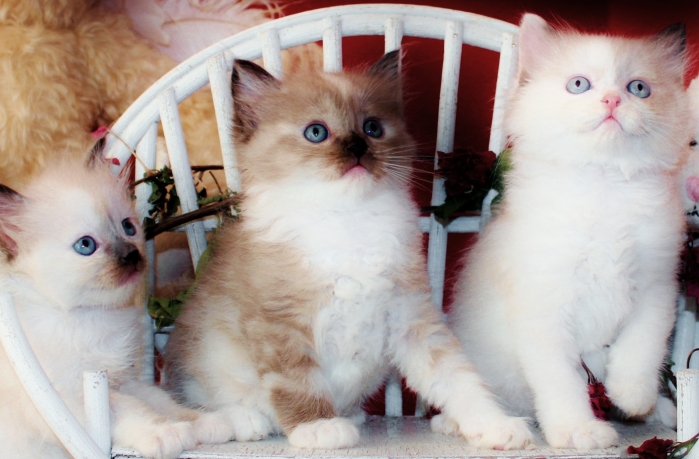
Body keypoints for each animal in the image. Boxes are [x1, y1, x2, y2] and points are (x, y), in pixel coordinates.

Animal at [0, 150, 230, 459]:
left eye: (128, 227)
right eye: (85, 245)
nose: (131, 255)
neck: (89, 318)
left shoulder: (125, 379)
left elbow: (163, 402)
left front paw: (210, 422)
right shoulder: (71, 396)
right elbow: (131, 411)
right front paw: (165, 433)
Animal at [163, 51, 534, 450]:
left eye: (372, 128)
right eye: (316, 132)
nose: (357, 148)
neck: (348, 218)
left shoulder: (411, 318)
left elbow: (458, 380)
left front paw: (496, 425)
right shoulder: (281, 324)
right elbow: (297, 383)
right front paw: (318, 428)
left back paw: (351, 414)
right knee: (201, 405)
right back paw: (250, 421)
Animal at [448, 14, 690, 450]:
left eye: (638, 89)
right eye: (579, 85)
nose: (612, 101)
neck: (605, 185)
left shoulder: (657, 287)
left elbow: (641, 347)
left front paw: (631, 396)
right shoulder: (545, 305)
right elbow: (563, 381)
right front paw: (579, 430)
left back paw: (657, 410)